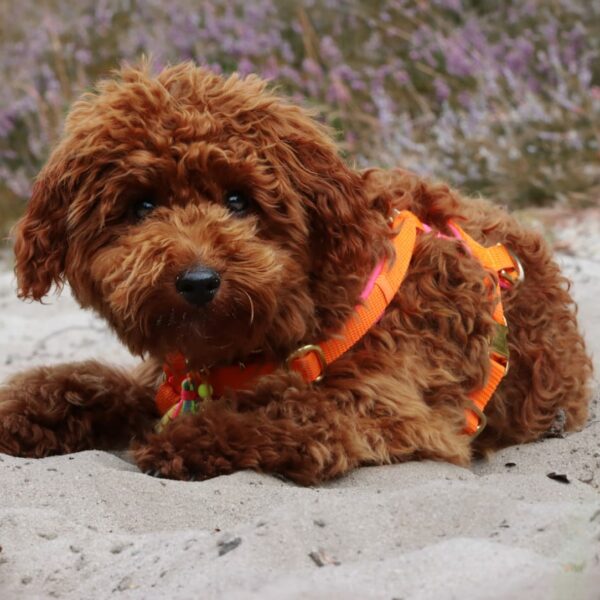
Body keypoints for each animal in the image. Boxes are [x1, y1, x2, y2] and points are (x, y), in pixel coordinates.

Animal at [0, 63, 592, 482]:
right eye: (141, 206)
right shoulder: (170, 382)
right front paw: (24, 411)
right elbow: (93, 383)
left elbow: (299, 411)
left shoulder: (396, 411)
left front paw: (191, 439)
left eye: (238, 200)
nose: (198, 282)